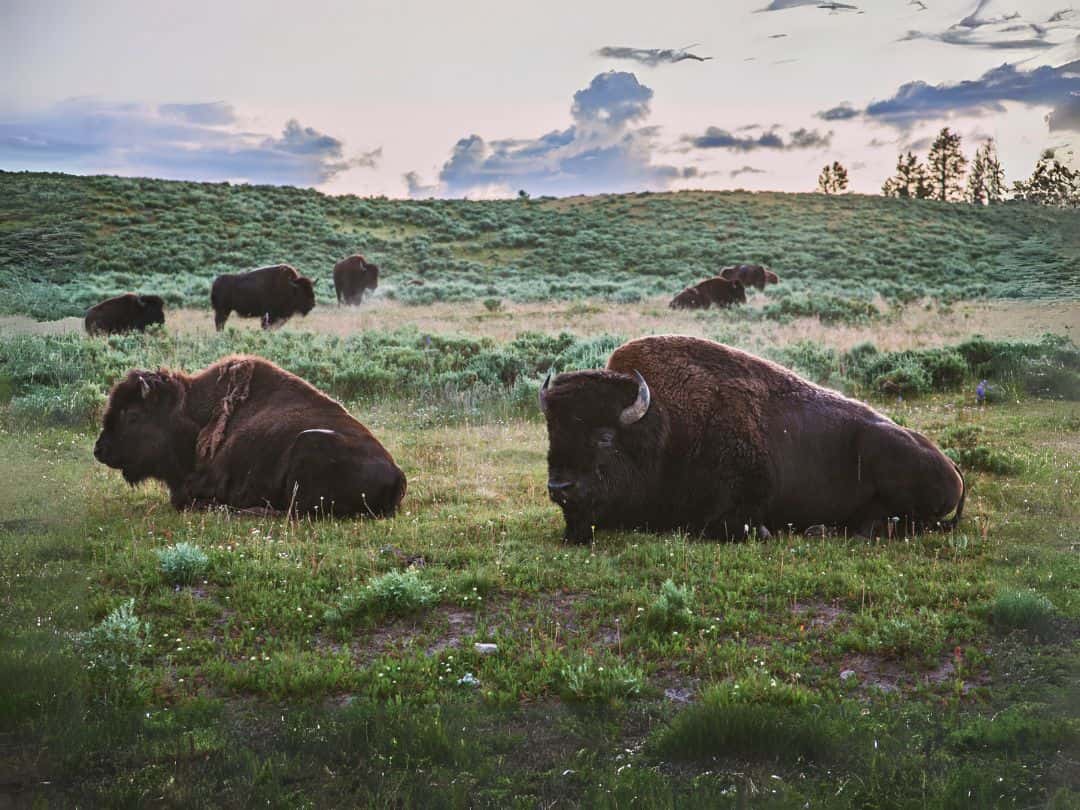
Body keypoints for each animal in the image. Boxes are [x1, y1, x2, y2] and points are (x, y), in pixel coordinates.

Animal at [540, 336, 963, 546]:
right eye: (552, 431)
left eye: (605, 436)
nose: (559, 487)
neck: (666, 425)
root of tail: (953, 468)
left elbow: (724, 527)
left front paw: (762, 533)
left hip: (885, 459)